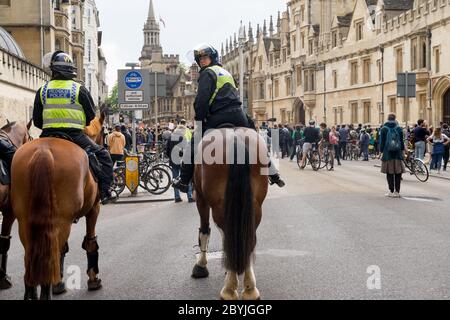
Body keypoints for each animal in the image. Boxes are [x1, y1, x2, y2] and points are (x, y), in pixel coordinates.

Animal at [11, 115, 105, 300]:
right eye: (104, 133)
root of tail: (44, 151)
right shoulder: (94, 209)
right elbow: (90, 242)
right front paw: (93, 278)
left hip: (25, 221)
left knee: (32, 258)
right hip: (62, 220)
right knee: (53, 255)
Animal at [190, 127, 268, 300]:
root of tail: (235, 139)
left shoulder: (200, 197)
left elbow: (204, 231)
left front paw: (201, 265)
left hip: (217, 203)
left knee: (226, 234)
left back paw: (229, 289)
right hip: (254, 205)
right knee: (248, 237)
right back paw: (250, 288)